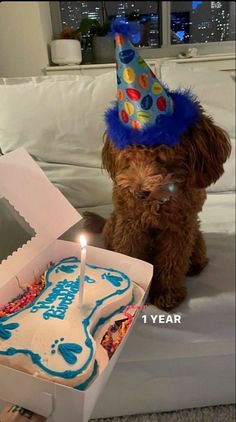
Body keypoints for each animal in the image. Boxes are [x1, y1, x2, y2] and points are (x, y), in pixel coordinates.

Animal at [84, 104, 230, 312]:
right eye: (129, 153)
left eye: (161, 157)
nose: (139, 193)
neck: (157, 203)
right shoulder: (131, 225)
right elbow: (130, 252)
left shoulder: (178, 230)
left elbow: (172, 262)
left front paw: (167, 294)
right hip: (114, 227)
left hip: (196, 236)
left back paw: (195, 266)